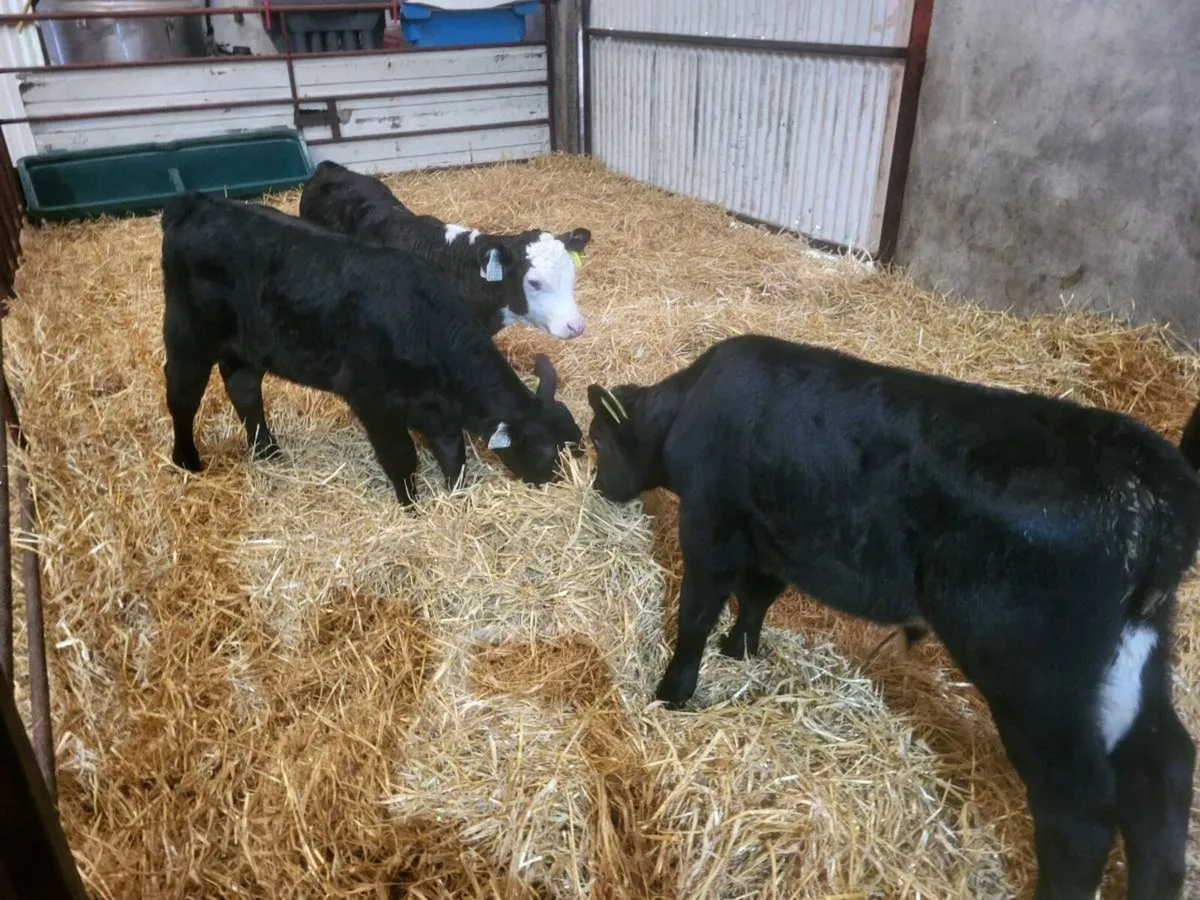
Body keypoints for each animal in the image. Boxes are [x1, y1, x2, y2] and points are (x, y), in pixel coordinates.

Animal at [159, 192, 582, 504]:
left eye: (576, 441)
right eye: (546, 453)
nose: (561, 483)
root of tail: (196, 203)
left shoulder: (430, 404)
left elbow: (451, 449)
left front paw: (455, 496)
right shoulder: (373, 398)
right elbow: (400, 456)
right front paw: (411, 506)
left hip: (245, 344)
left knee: (244, 388)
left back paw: (267, 451)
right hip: (188, 333)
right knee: (182, 394)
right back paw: (187, 460)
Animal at [584, 333, 1200, 900]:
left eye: (597, 439)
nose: (597, 487)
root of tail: (1150, 478)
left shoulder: (713, 527)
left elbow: (695, 615)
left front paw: (672, 691)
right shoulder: (772, 543)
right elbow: (757, 598)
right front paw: (741, 649)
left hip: (1036, 676)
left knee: (1081, 813)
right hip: (1131, 655)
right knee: (1162, 770)